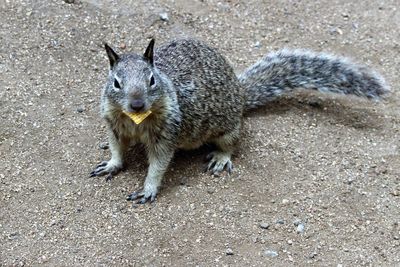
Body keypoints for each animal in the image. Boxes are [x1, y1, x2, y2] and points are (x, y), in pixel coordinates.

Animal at [89, 37, 390, 204]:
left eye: (152, 79)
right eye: (115, 82)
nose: (137, 104)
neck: (135, 121)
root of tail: (240, 93)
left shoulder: (167, 133)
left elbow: (159, 164)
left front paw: (148, 189)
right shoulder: (113, 125)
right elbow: (117, 149)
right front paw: (112, 164)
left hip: (227, 129)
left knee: (231, 143)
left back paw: (221, 158)